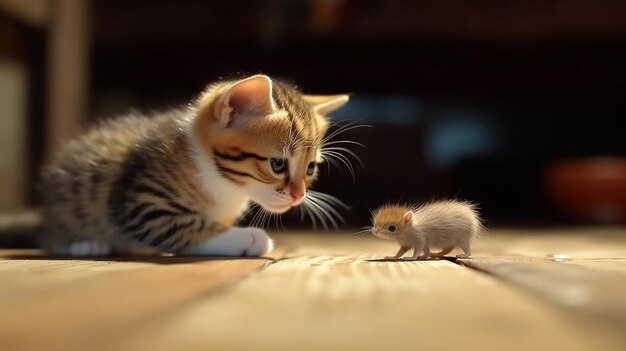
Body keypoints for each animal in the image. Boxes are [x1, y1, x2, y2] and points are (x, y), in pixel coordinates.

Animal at [38, 75, 348, 256]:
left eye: (310, 169)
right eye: (277, 164)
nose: (298, 195)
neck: (225, 185)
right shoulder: (143, 201)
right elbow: (188, 226)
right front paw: (247, 238)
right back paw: (84, 244)